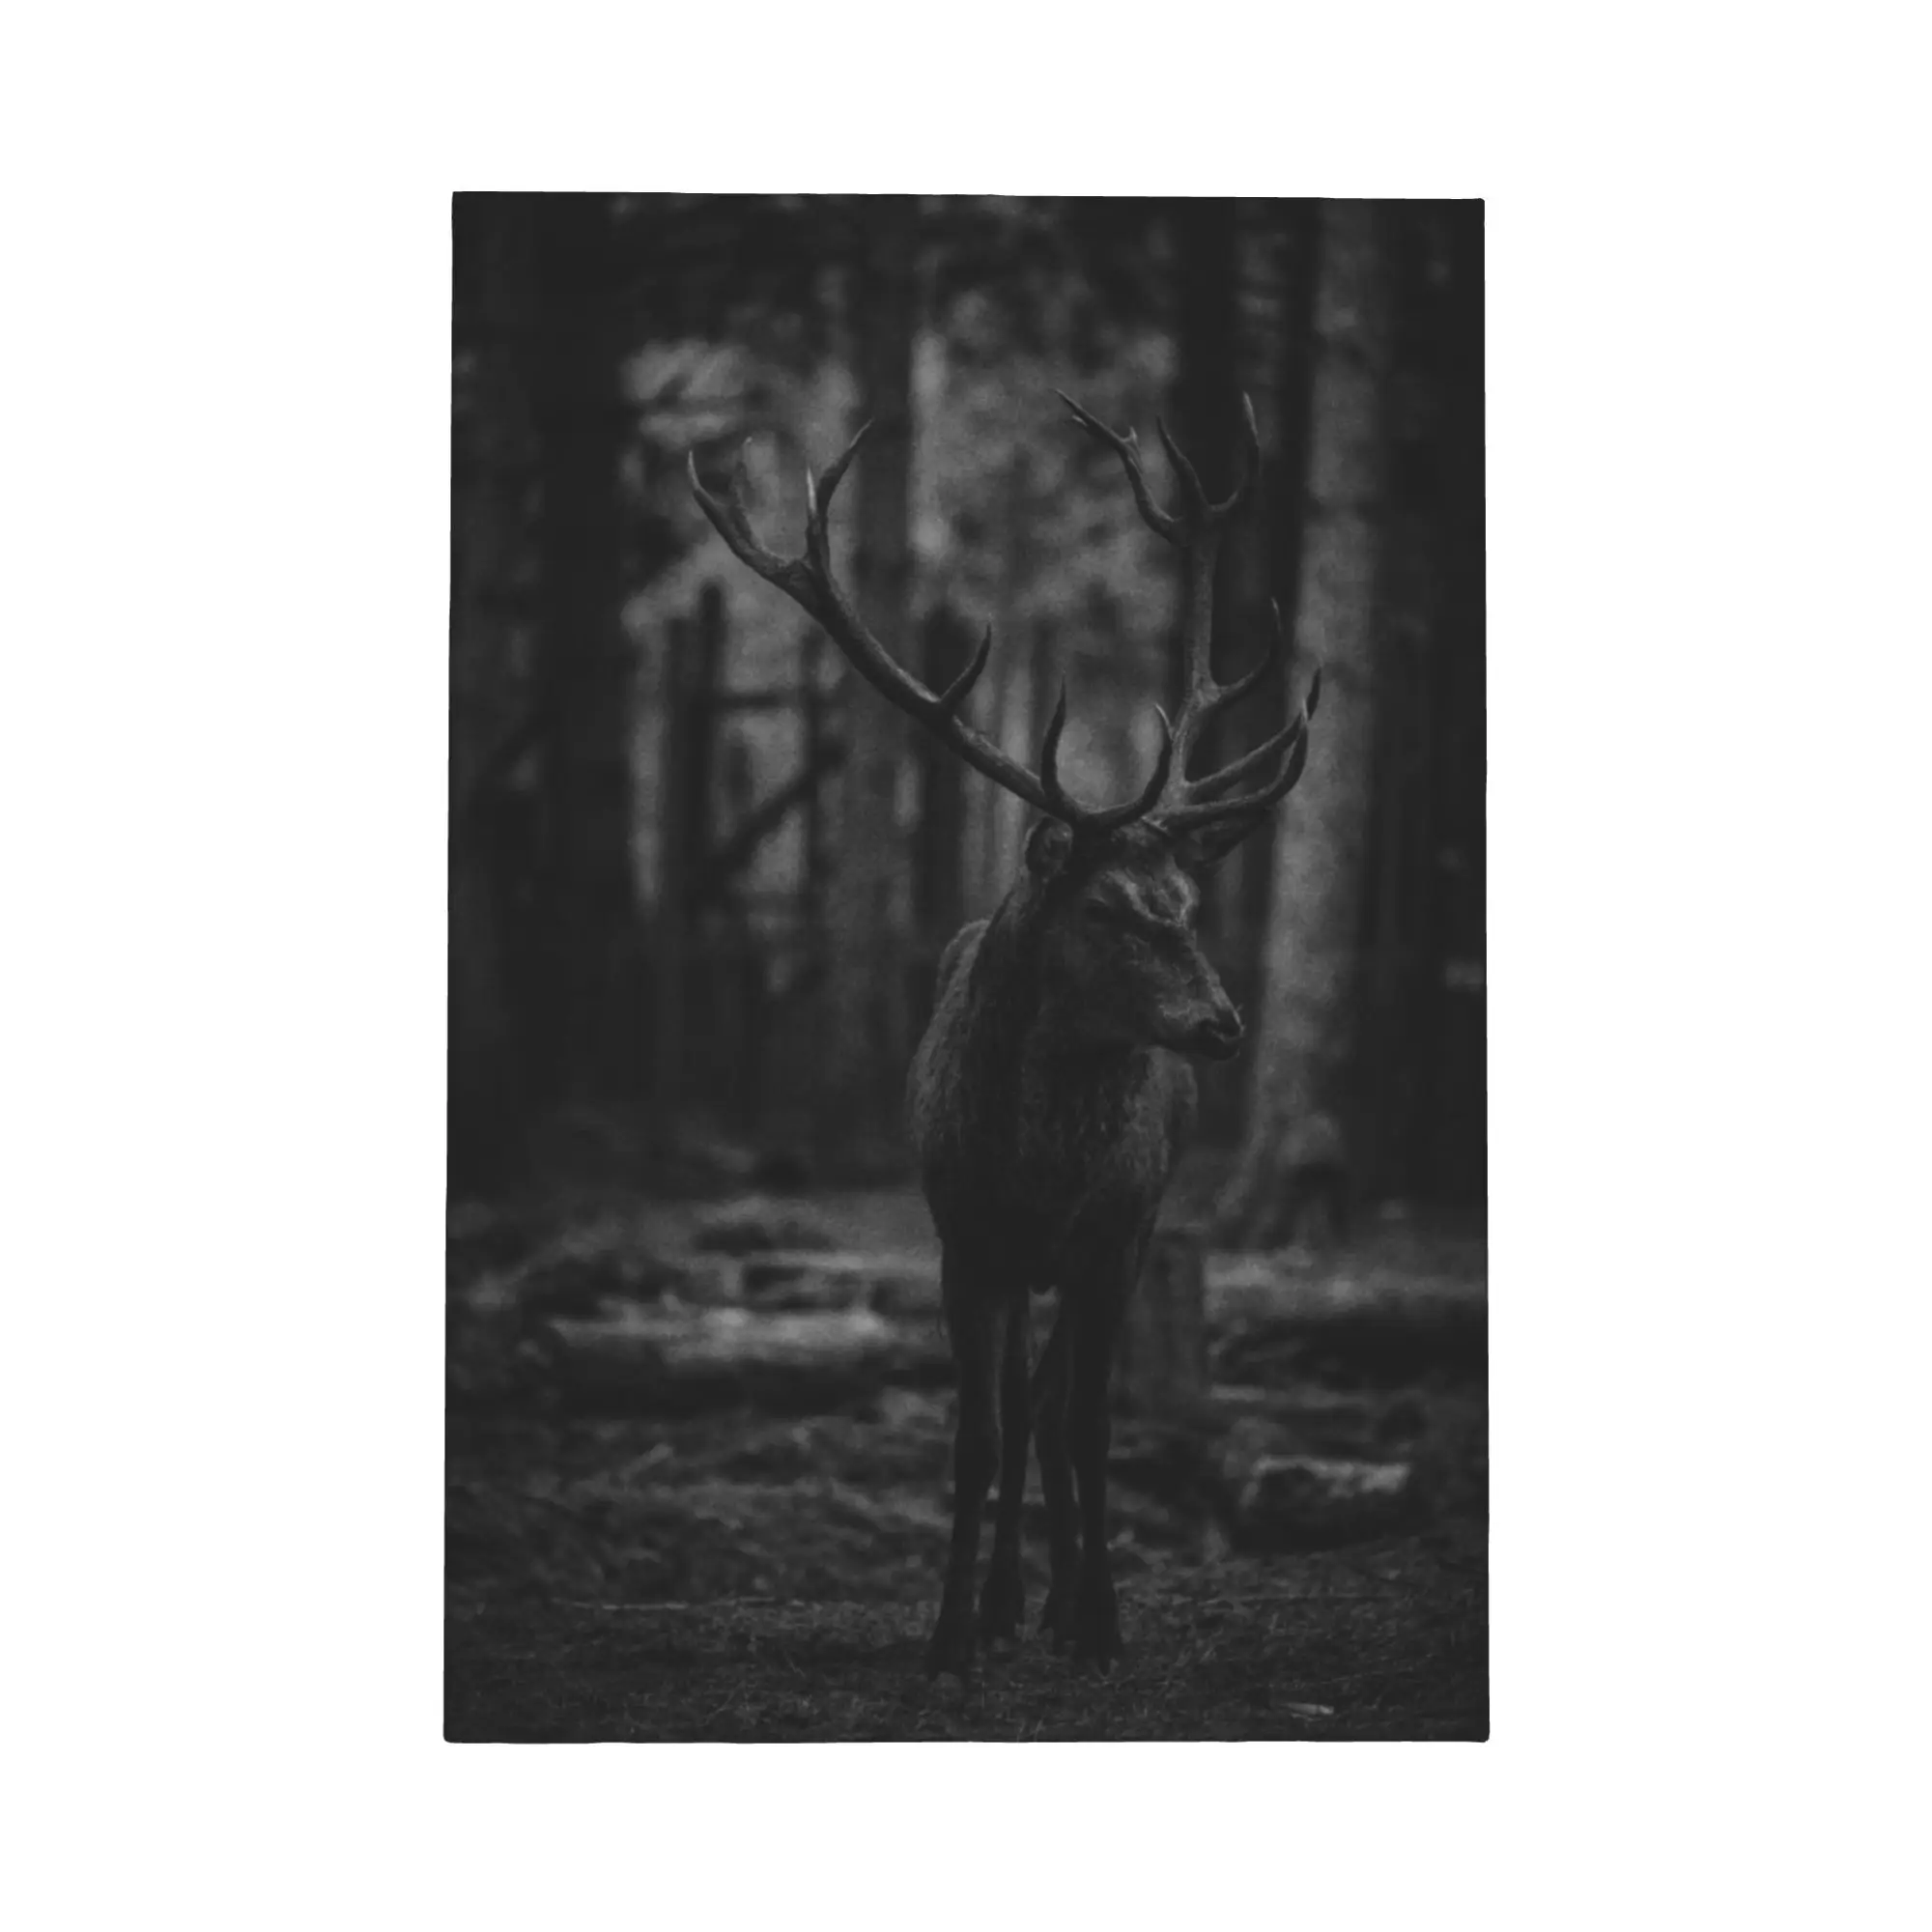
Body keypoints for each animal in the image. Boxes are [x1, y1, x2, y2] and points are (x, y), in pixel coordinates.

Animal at [689, 393, 1319, 1677]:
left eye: (1185, 902)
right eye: (1106, 908)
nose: (1221, 1022)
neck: (1035, 1169)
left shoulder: (1114, 1234)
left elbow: (1085, 1425)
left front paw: (1100, 1620)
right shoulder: (962, 1235)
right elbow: (979, 1432)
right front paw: (947, 1631)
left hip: (1123, 1239)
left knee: (1059, 1405)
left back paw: (1056, 1597)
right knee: (1022, 1405)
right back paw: (1001, 1599)